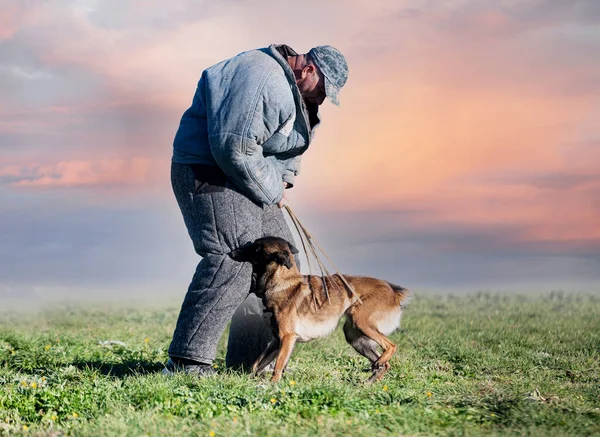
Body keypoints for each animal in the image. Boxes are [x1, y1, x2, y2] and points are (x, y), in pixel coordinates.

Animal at [231, 235, 412, 382]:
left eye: (256, 247)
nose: (232, 252)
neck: (282, 282)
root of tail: (392, 289)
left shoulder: (287, 338)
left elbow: (277, 367)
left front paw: (272, 386)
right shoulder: (277, 340)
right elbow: (256, 364)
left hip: (362, 323)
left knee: (390, 347)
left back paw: (378, 365)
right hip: (354, 336)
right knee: (383, 364)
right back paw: (367, 383)